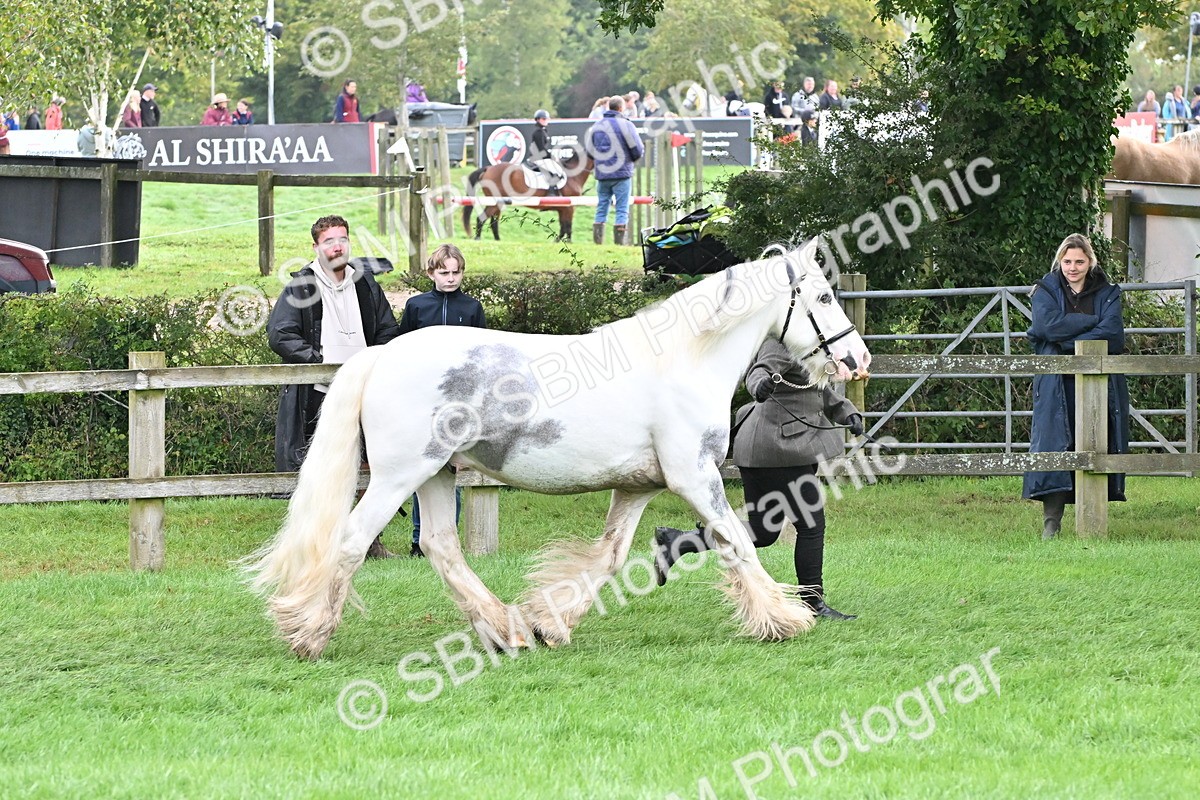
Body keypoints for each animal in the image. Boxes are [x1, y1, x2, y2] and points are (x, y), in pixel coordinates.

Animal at [243, 241, 872, 660]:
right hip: (399, 476)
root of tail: (379, 356)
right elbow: (737, 542)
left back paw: (508, 630)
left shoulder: (638, 487)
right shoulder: (695, 477)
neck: (685, 361)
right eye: (822, 296)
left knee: (443, 547)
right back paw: (309, 634)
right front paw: (786, 618)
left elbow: (611, 557)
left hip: (437, 476)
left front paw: (551, 623)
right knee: (352, 541)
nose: (857, 359)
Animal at [462, 149, 593, 242]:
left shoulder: (563, 208)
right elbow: (568, 226)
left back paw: (497, 240)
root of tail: (488, 168)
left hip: (498, 203)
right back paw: (478, 238)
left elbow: (563, 226)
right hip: (495, 202)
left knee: (494, 222)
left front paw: (558, 241)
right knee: (482, 218)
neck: (573, 175)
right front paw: (568, 242)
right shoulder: (569, 207)